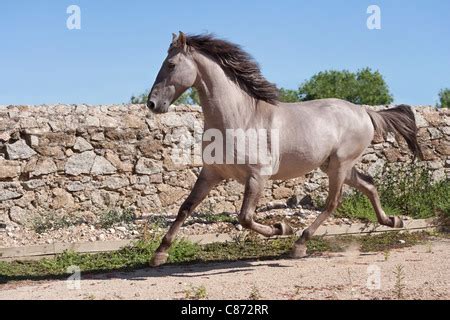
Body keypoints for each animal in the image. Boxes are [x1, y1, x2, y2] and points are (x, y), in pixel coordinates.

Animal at [146, 31, 424, 266]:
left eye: (171, 65)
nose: (152, 104)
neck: (240, 118)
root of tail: (365, 111)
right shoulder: (211, 173)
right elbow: (185, 208)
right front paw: (159, 254)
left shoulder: (257, 176)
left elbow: (245, 217)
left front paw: (282, 228)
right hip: (335, 165)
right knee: (369, 184)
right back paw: (392, 221)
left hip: (340, 165)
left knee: (333, 203)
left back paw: (299, 244)